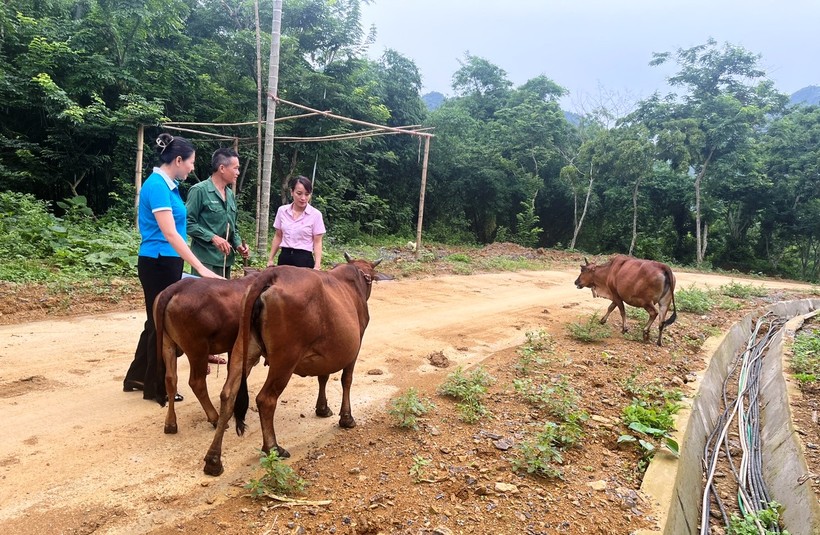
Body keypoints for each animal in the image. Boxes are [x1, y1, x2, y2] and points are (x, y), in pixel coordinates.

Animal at [154, 270, 262, 434]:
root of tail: (176, 287)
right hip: (198, 350)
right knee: (197, 383)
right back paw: (215, 418)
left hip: (168, 345)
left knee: (171, 379)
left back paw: (170, 423)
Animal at [200, 255, 390, 478]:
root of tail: (270, 274)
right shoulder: (355, 348)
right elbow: (347, 380)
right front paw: (347, 418)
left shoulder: (324, 354)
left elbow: (323, 377)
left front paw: (322, 408)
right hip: (285, 359)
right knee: (266, 399)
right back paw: (272, 447)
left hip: (242, 348)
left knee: (228, 395)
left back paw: (213, 459)